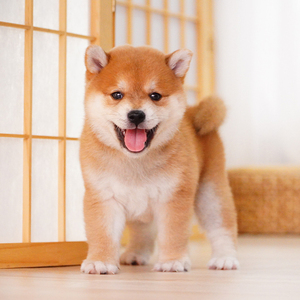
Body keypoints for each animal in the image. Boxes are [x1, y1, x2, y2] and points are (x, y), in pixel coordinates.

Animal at [79, 45, 239, 274]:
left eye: (155, 95)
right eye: (117, 95)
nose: (136, 115)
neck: (135, 162)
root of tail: (193, 112)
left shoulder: (174, 197)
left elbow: (173, 234)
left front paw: (172, 261)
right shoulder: (103, 197)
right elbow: (102, 234)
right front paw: (100, 261)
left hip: (211, 194)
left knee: (222, 228)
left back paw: (225, 258)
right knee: (144, 231)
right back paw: (136, 254)